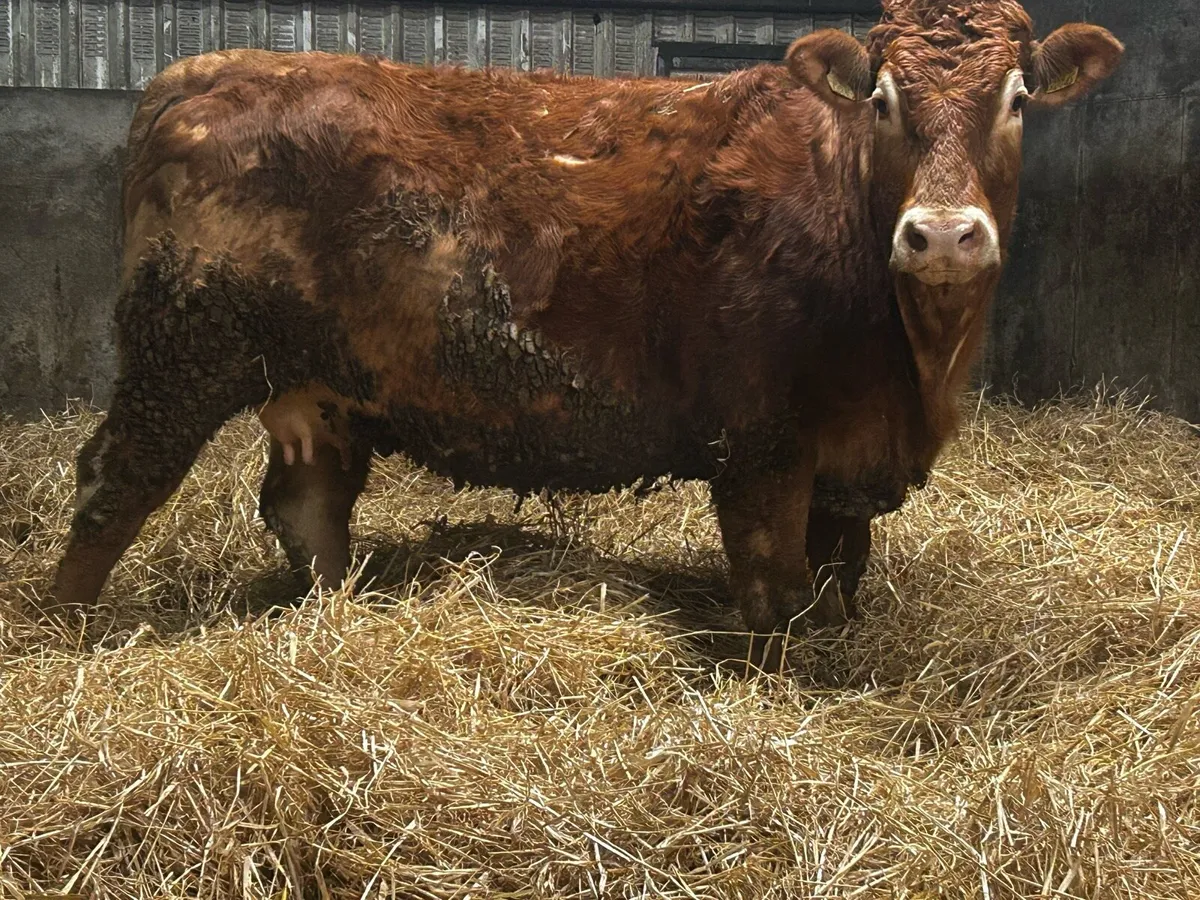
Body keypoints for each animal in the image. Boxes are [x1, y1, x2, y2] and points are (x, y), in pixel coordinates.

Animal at [46, 0, 1121, 667]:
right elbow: (773, 590)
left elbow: (839, 581)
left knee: (306, 507)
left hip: (318, 388)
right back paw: (64, 631)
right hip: (183, 351)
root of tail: (204, 71)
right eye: (886, 98)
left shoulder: (851, 461)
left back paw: (333, 611)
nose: (940, 233)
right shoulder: (762, 446)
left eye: (1017, 99)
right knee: (115, 481)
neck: (913, 361)